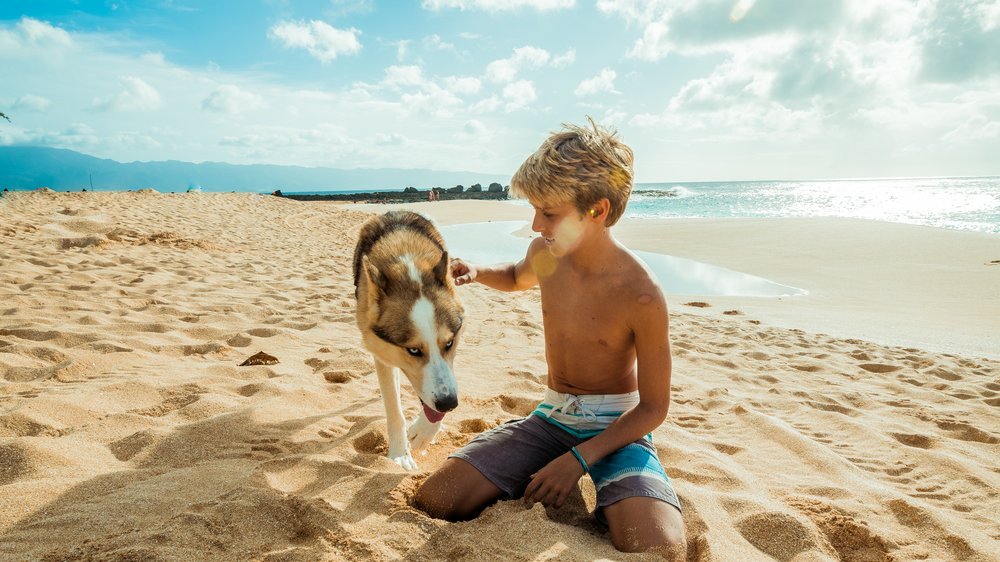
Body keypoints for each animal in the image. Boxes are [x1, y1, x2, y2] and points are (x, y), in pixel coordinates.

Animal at [354, 210, 462, 468]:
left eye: (449, 343)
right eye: (413, 350)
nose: (449, 403)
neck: (408, 265)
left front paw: (424, 433)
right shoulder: (381, 354)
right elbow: (394, 410)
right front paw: (400, 454)